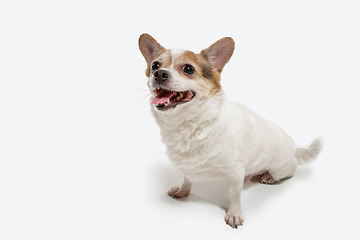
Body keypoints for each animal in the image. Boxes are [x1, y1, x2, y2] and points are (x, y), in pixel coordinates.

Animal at [138, 33, 324, 229]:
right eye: (155, 66)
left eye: (188, 69)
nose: (159, 73)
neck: (190, 125)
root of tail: (294, 147)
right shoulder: (189, 167)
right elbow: (187, 178)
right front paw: (183, 191)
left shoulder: (235, 171)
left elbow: (233, 195)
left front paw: (234, 214)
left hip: (281, 169)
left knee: (290, 170)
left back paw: (269, 177)